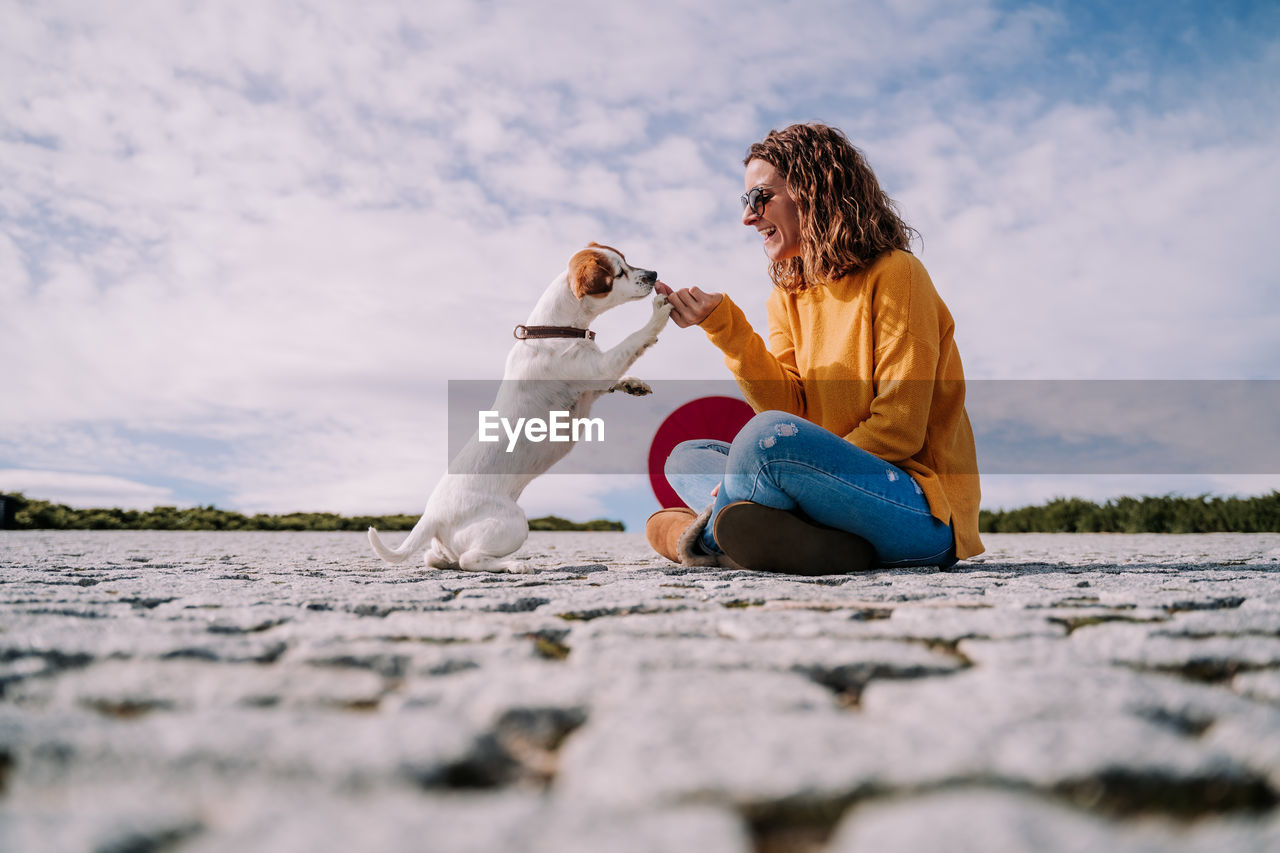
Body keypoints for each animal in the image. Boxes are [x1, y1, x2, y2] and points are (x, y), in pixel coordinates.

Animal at [368, 242, 675, 568]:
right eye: (619, 272)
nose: (654, 274)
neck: (554, 329)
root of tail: (430, 517)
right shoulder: (600, 368)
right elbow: (633, 340)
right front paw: (659, 312)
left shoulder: (592, 384)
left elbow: (617, 378)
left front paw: (633, 384)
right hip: (513, 523)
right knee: (471, 560)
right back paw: (514, 565)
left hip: (450, 546)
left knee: (438, 558)